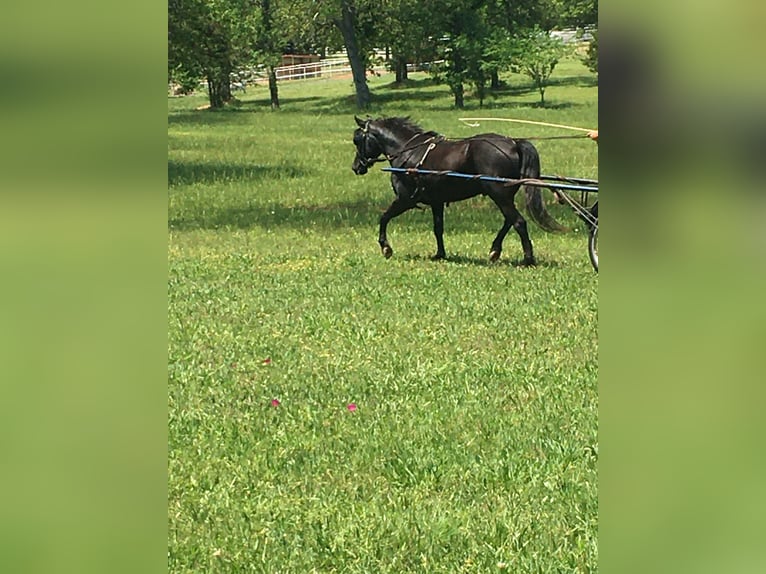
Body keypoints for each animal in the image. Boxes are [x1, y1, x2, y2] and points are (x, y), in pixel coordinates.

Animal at [351, 116, 565, 266]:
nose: (356, 167)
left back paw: (528, 258)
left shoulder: (405, 199)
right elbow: (438, 228)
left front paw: (386, 248)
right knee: (509, 221)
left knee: (518, 222)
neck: (408, 150)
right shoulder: (436, 202)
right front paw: (440, 254)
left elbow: (384, 218)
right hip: (503, 194)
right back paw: (495, 250)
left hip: (498, 194)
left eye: (357, 140)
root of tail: (513, 142)